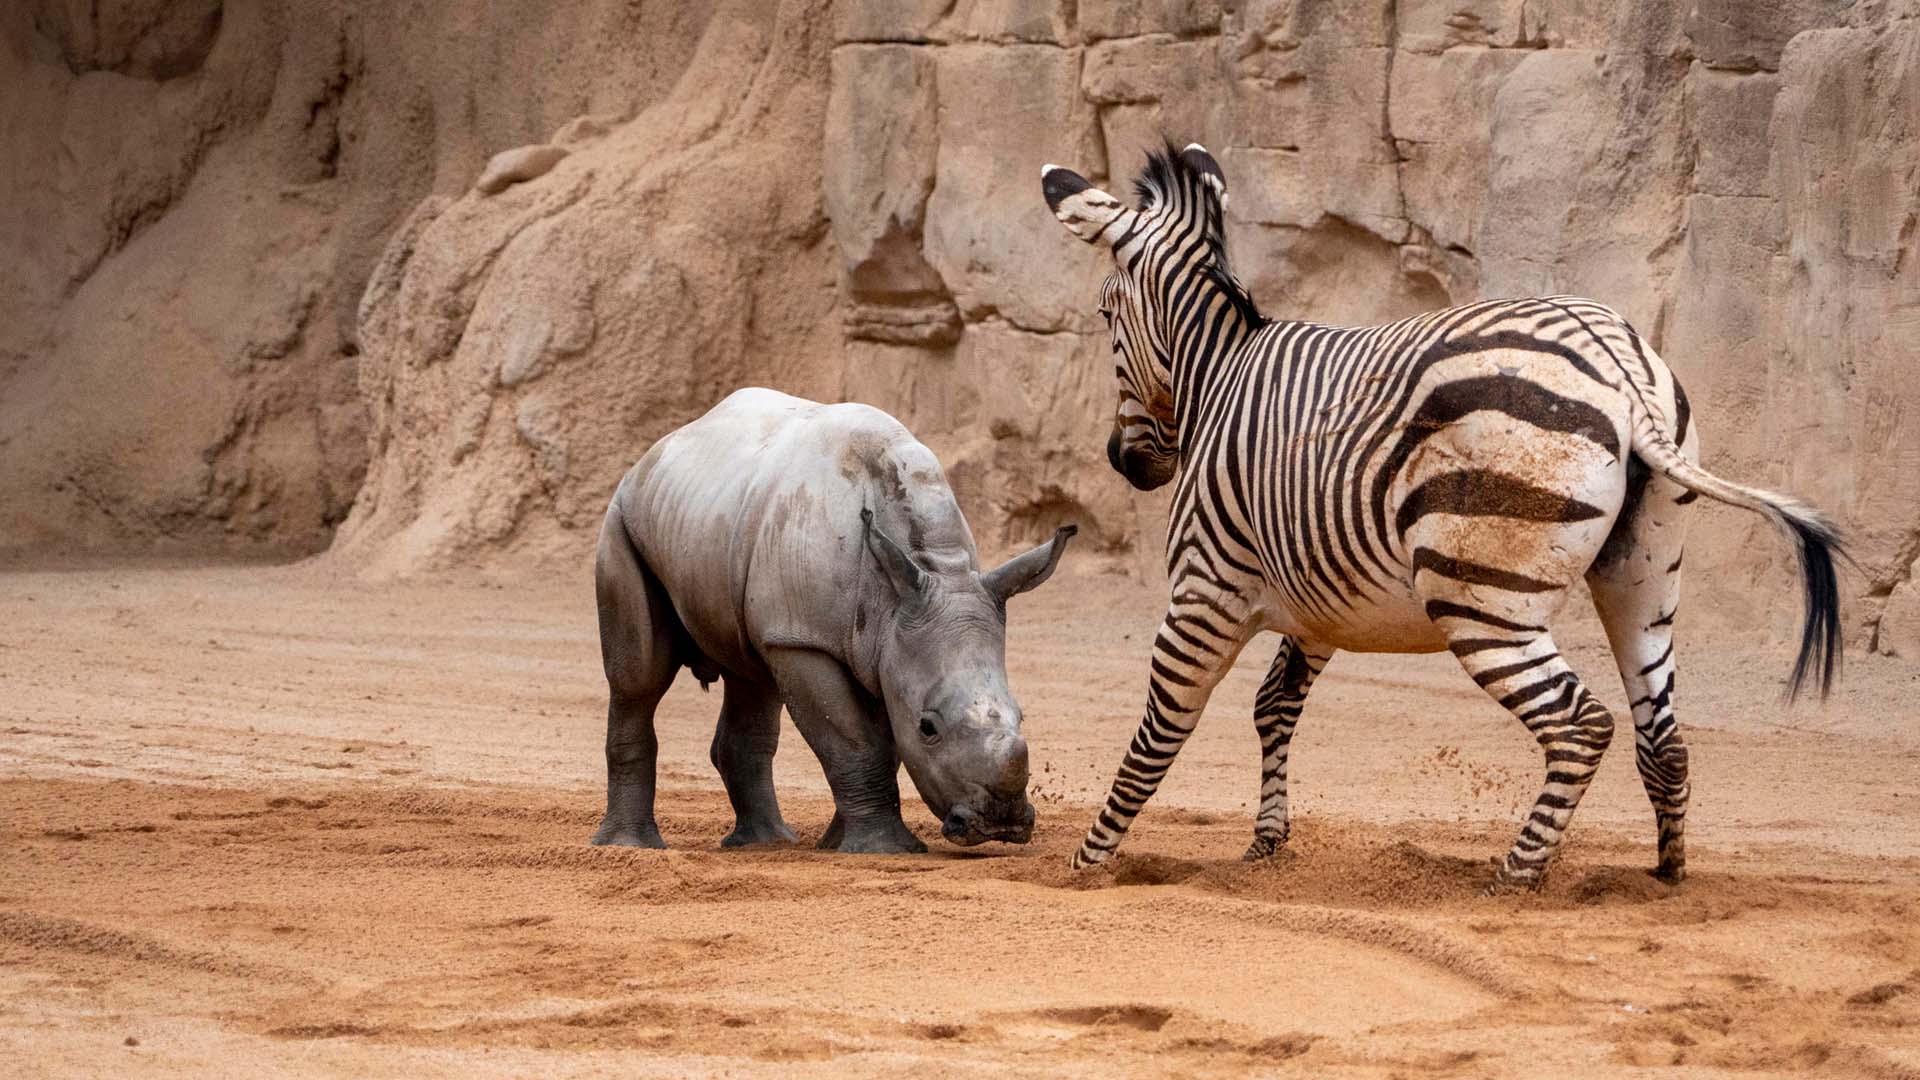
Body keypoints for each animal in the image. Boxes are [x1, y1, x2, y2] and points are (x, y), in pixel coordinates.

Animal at [1037, 141, 1843, 890]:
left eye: (1105, 313)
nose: (1125, 461)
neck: (1218, 372)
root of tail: (1618, 364)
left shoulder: (1206, 587)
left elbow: (1160, 732)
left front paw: (1083, 867)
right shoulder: (1320, 594)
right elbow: (1274, 704)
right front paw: (1266, 845)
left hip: (1478, 591)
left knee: (1580, 725)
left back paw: (1513, 880)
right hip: (1643, 572)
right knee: (1662, 736)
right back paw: (1664, 876)